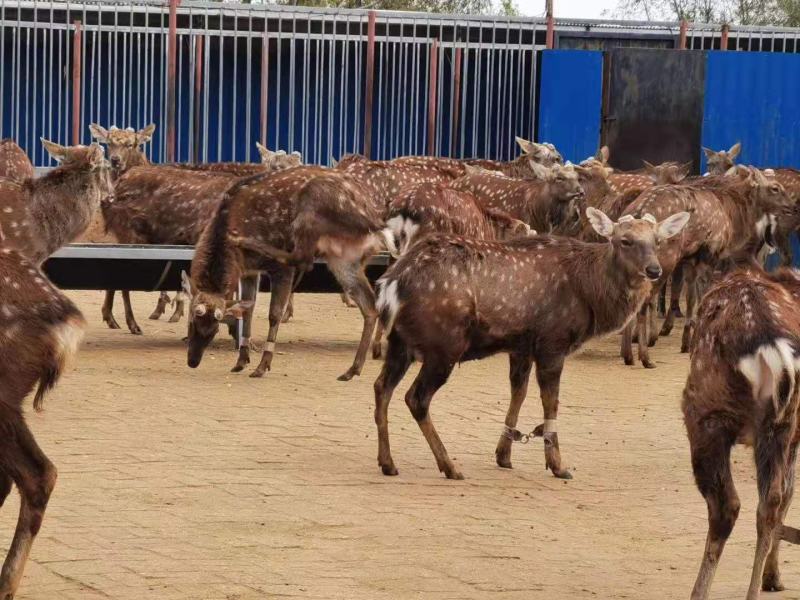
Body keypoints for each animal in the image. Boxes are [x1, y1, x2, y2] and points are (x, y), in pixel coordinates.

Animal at [184, 166, 386, 381]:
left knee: (302, 259)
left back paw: (245, 240)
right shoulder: (249, 271)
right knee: (369, 305)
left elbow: (274, 314)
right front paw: (241, 361)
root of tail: (372, 215)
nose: (193, 361)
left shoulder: (279, 271)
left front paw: (262, 365)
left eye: (215, 329)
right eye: (192, 321)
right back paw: (352, 370)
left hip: (312, 205)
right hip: (344, 257)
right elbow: (247, 310)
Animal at [371, 208, 689, 480]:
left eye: (657, 240)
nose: (654, 270)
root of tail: (391, 284)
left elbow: (519, 392)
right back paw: (449, 466)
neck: (591, 293)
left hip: (400, 342)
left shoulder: (521, 345)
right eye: (625, 240)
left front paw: (504, 455)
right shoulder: (553, 341)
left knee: (381, 387)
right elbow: (552, 402)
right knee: (416, 398)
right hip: (444, 344)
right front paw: (558, 465)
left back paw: (388, 463)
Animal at [683, 267, 800, 600]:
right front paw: (774, 577)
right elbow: (787, 495)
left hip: (707, 416)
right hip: (779, 425)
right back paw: (755, 590)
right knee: (771, 503)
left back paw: (698, 592)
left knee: (727, 506)